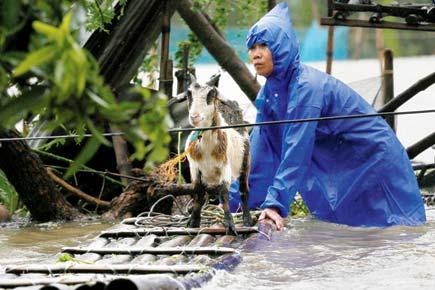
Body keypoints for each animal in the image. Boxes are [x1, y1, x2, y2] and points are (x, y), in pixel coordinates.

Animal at [175, 73, 252, 234]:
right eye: (189, 94)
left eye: (211, 93)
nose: (195, 116)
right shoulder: (194, 168)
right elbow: (198, 192)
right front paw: (193, 222)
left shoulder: (225, 167)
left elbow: (224, 193)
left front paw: (230, 225)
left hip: (246, 162)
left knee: (244, 190)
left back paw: (247, 220)